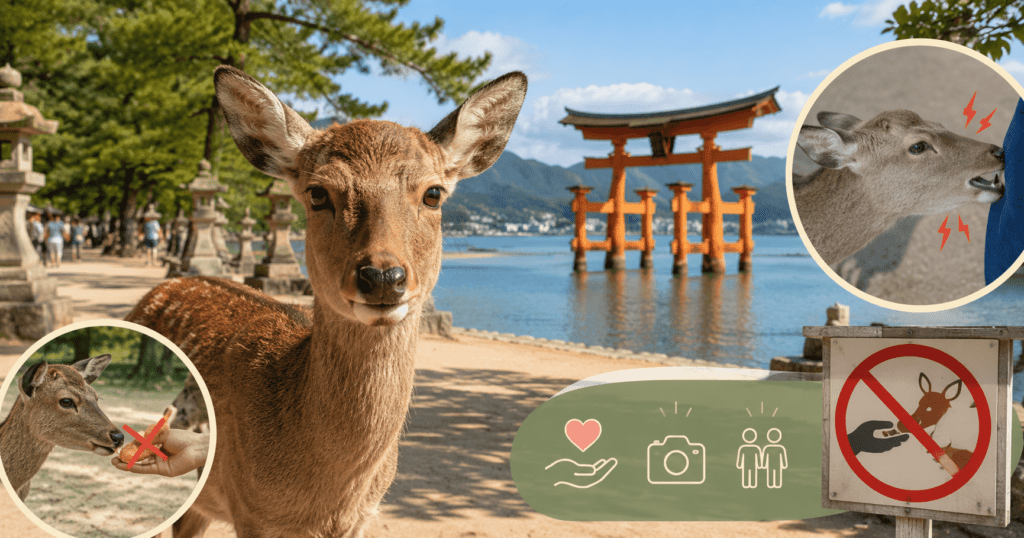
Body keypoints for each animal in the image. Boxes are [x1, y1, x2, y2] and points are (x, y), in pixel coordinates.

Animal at [124, 65, 527, 538]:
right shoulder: (250, 511)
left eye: (433, 193)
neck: (327, 502)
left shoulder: (362, 518)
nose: (382, 277)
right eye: (318, 193)